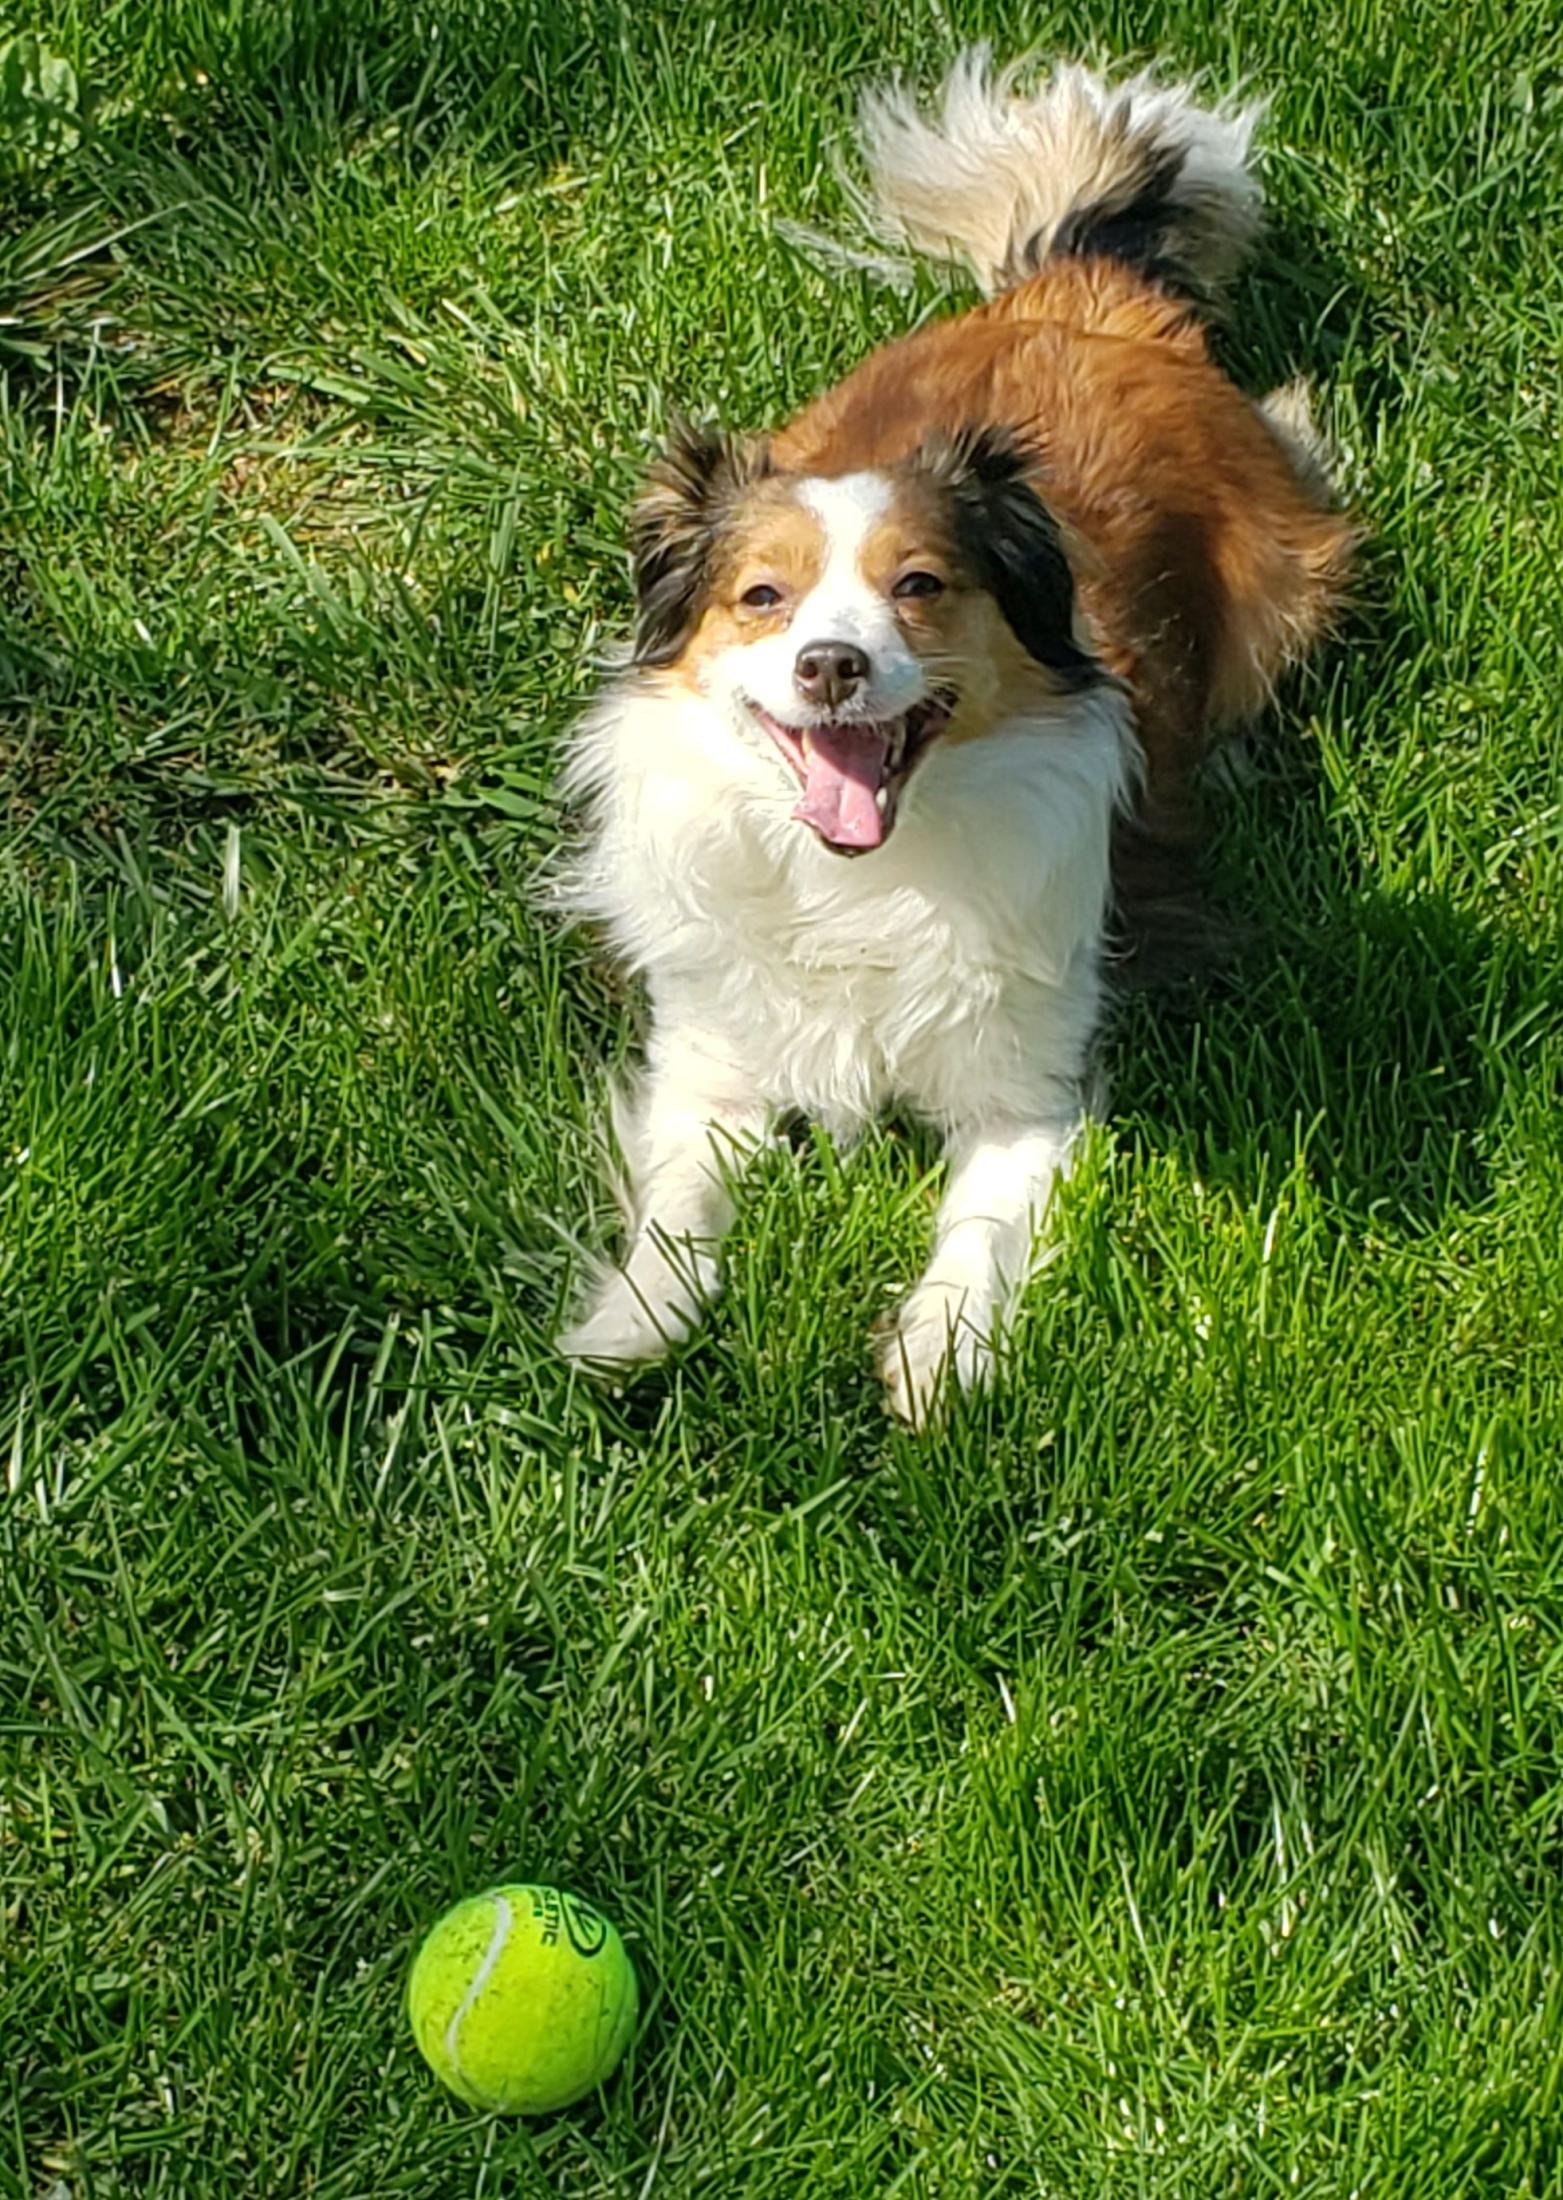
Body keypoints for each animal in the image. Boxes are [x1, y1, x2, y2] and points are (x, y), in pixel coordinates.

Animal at [556, 51, 1356, 1434]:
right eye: (761, 597)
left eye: (920, 586)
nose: (831, 666)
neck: (861, 874)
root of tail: (1086, 291)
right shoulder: (710, 1048)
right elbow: (680, 1194)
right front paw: (632, 1323)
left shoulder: (1027, 1088)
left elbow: (979, 1227)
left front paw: (938, 1356)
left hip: (1288, 586)